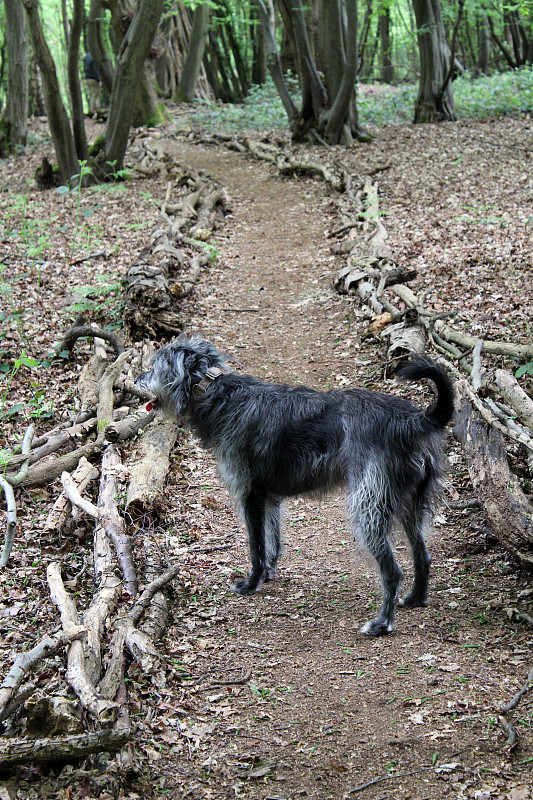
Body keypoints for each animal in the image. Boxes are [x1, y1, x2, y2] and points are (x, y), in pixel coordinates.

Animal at [137, 334, 454, 636]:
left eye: (155, 366)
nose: (138, 379)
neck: (216, 392)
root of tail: (412, 420)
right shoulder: (269, 497)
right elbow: (272, 539)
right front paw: (268, 573)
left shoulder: (250, 495)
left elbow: (256, 546)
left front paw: (251, 583)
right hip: (409, 503)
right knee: (423, 555)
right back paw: (415, 598)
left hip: (369, 507)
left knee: (393, 572)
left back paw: (381, 624)